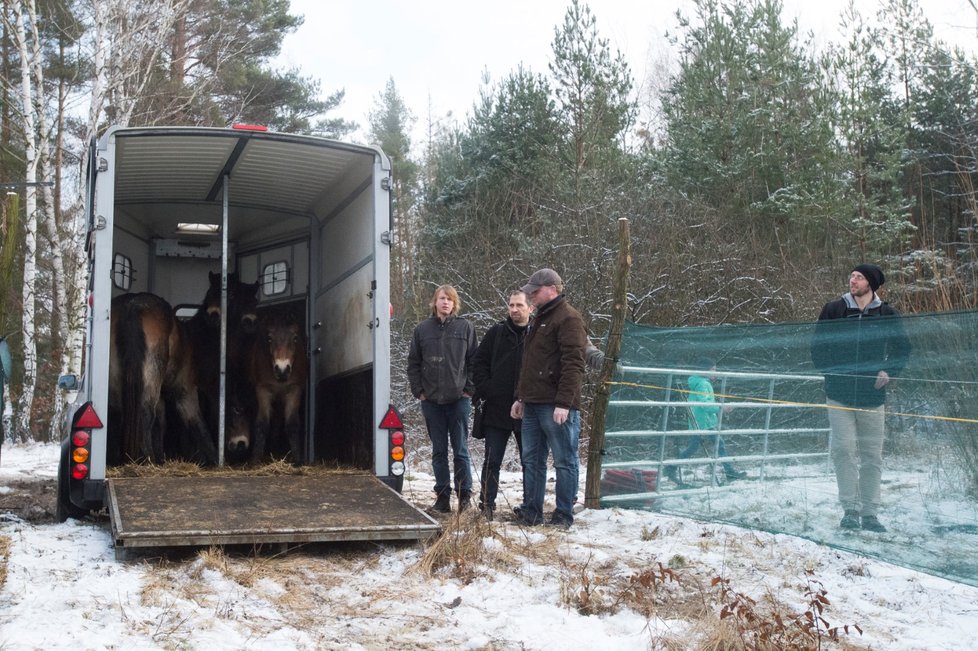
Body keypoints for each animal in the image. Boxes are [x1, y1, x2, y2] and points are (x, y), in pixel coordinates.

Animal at [108, 292, 215, 466]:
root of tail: (132, 304)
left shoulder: (163, 396)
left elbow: (160, 423)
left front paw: (160, 458)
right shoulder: (184, 391)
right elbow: (196, 421)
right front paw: (214, 458)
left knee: (115, 411)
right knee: (145, 412)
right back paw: (147, 458)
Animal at [243, 310, 304, 464]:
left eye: (295, 338)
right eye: (270, 338)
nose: (282, 370)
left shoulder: (294, 390)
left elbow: (292, 424)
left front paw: (298, 460)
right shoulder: (263, 391)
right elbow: (262, 424)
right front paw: (255, 460)